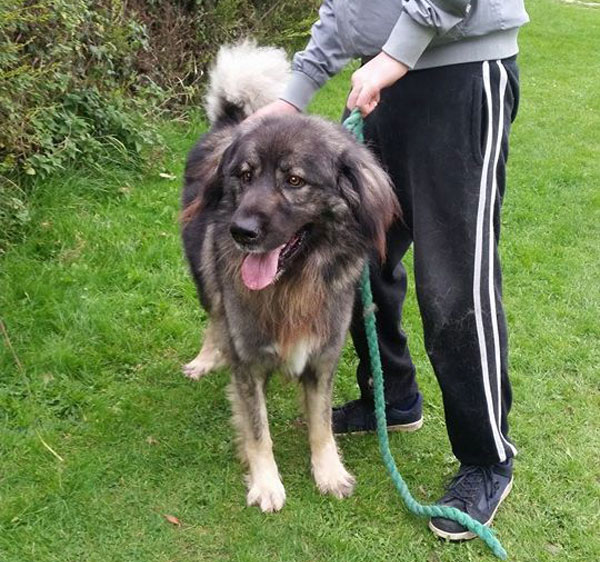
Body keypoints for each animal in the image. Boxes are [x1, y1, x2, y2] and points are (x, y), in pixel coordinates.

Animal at [180, 41, 400, 510]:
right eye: (244, 176)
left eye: (295, 180)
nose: (241, 232)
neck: (293, 284)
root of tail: (230, 120)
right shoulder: (247, 364)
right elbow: (258, 430)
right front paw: (266, 483)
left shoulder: (321, 359)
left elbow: (321, 425)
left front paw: (329, 472)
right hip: (205, 276)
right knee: (214, 316)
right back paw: (206, 358)